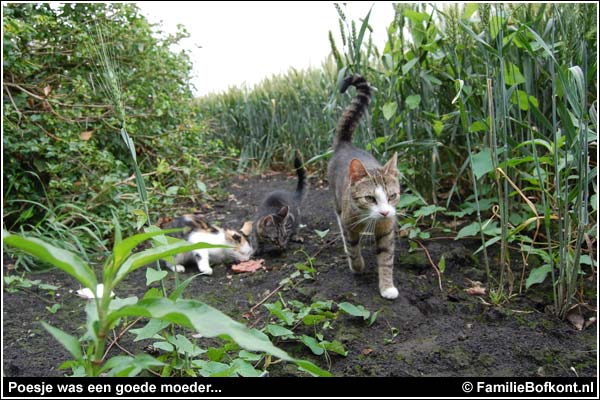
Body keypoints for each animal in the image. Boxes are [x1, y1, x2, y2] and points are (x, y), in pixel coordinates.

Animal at [328, 74, 404, 300]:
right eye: (370, 198)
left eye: (392, 196)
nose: (385, 212)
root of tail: (345, 144)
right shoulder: (348, 221)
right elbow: (353, 248)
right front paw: (358, 266)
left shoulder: (387, 229)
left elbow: (386, 258)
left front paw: (387, 287)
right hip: (336, 200)